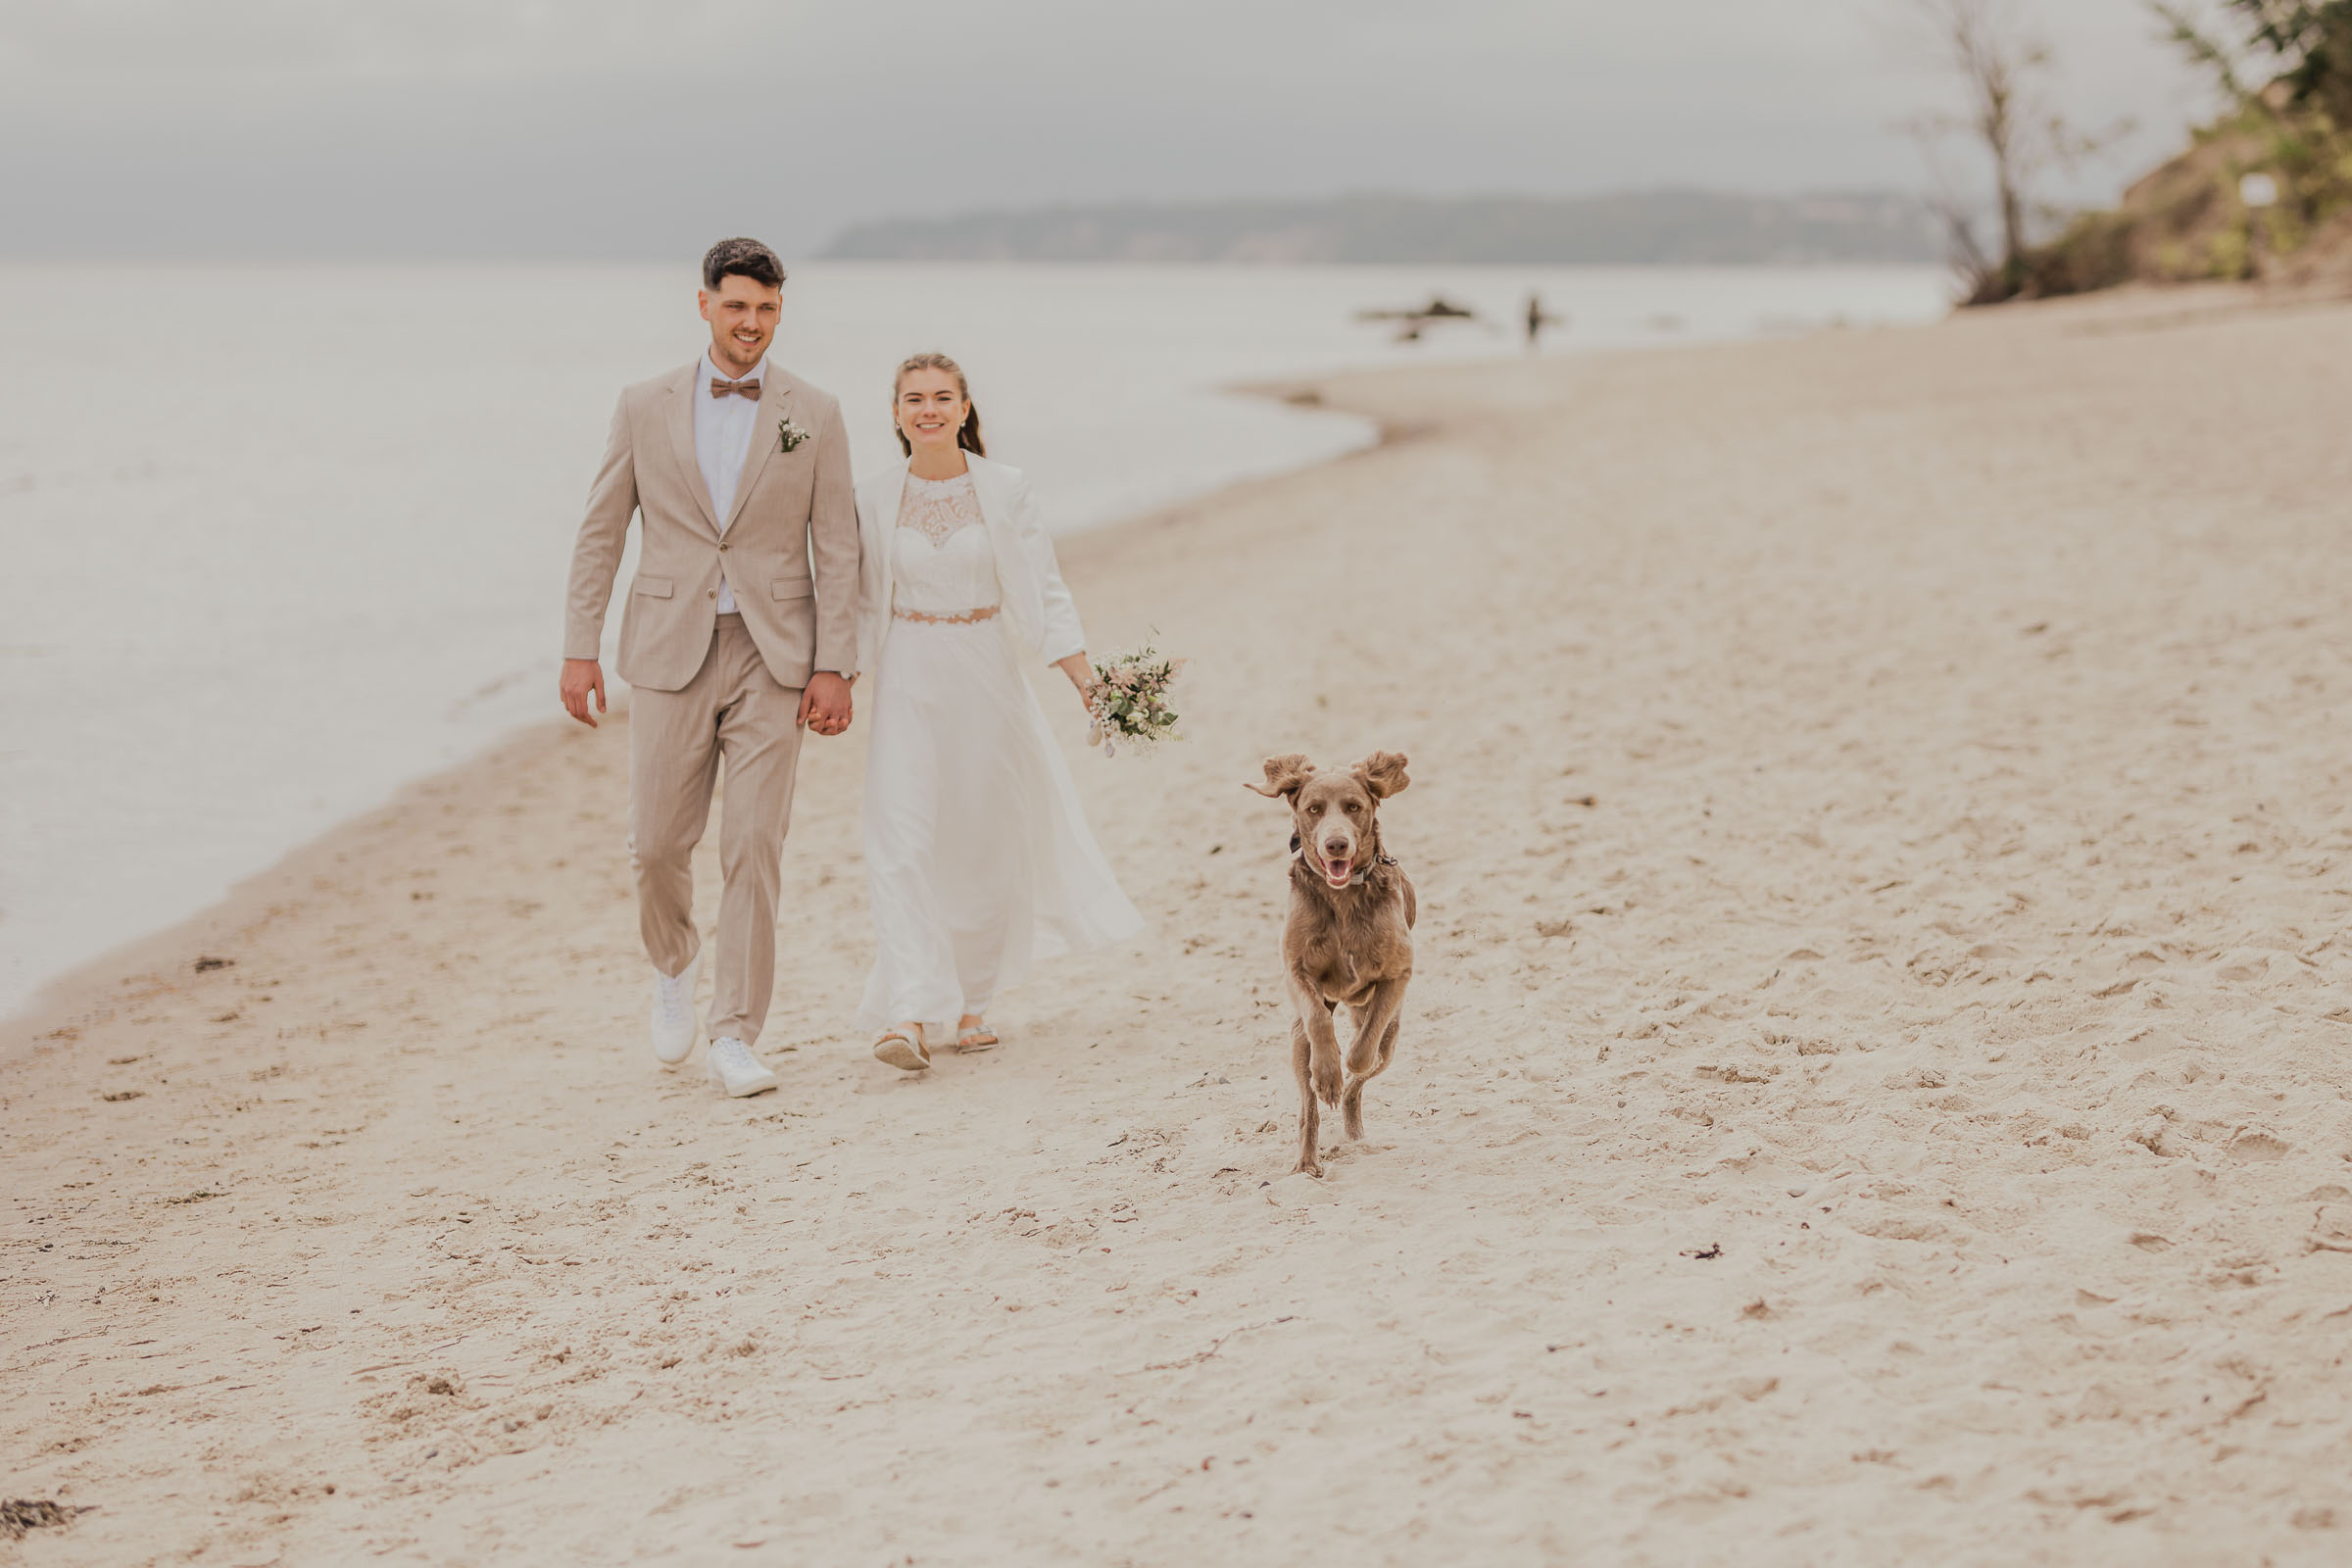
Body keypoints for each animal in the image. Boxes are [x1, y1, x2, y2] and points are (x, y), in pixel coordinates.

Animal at [1250, 752, 1411, 1175]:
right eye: (1313, 809)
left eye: (1354, 807)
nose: (1336, 844)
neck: (1342, 899)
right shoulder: (1296, 970)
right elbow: (1319, 1020)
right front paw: (1326, 1075)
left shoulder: (1399, 973)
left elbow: (1362, 1049)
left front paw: (1346, 1061)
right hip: (1296, 1041)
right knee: (1309, 1108)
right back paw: (1307, 1163)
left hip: (1391, 1039)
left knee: (1366, 1069)